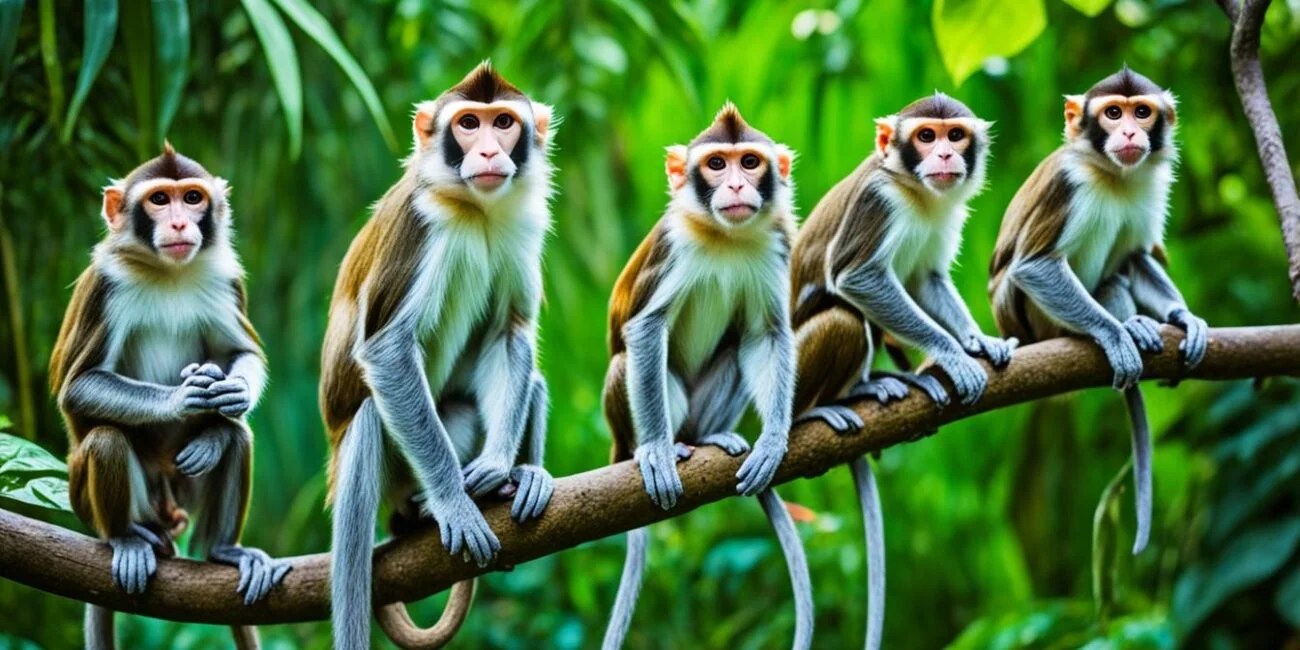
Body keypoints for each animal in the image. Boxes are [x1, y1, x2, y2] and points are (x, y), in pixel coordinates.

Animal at [49, 144, 290, 650]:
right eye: (160, 199)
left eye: (192, 198)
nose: (180, 224)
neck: (167, 273)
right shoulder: (106, 287)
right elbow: (79, 386)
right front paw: (182, 399)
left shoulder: (224, 279)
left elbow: (242, 355)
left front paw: (228, 399)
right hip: (93, 501)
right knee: (105, 441)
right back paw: (127, 538)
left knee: (238, 436)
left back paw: (223, 547)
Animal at [319, 62, 556, 650]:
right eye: (469, 123)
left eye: (504, 123)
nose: (490, 150)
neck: (477, 211)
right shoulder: (419, 221)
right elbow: (386, 350)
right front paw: (454, 502)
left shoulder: (524, 220)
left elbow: (509, 331)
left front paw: (497, 465)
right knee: (366, 423)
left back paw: (526, 475)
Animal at [600, 103, 812, 650]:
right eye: (717, 164)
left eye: (750, 162)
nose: (736, 185)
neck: (725, 237)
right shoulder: (674, 246)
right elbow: (645, 329)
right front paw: (656, 449)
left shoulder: (778, 245)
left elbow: (766, 335)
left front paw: (774, 441)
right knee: (627, 362)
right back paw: (663, 446)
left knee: (737, 348)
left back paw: (710, 437)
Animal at [789, 93, 1015, 650]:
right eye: (926, 137)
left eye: (955, 136)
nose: (945, 157)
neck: (917, 193)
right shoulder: (877, 201)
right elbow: (857, 279)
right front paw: (952, 355)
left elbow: (926, 277)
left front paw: (975, 340)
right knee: (847, 317)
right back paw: (820, 408)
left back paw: (878, 383)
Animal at [989, 67, 1207, 555]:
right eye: (1112, 113)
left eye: (1141, 112)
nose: (1128, 132)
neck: (1115, 177)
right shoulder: (1067, 184)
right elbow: (1033, 266)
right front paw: (1112, 335)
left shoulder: (1152, 184)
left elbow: (1137, 255)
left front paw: (1184, 318)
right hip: (1031, 320)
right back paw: (1115, 329)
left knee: (1116, 275)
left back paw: (1137, 322)